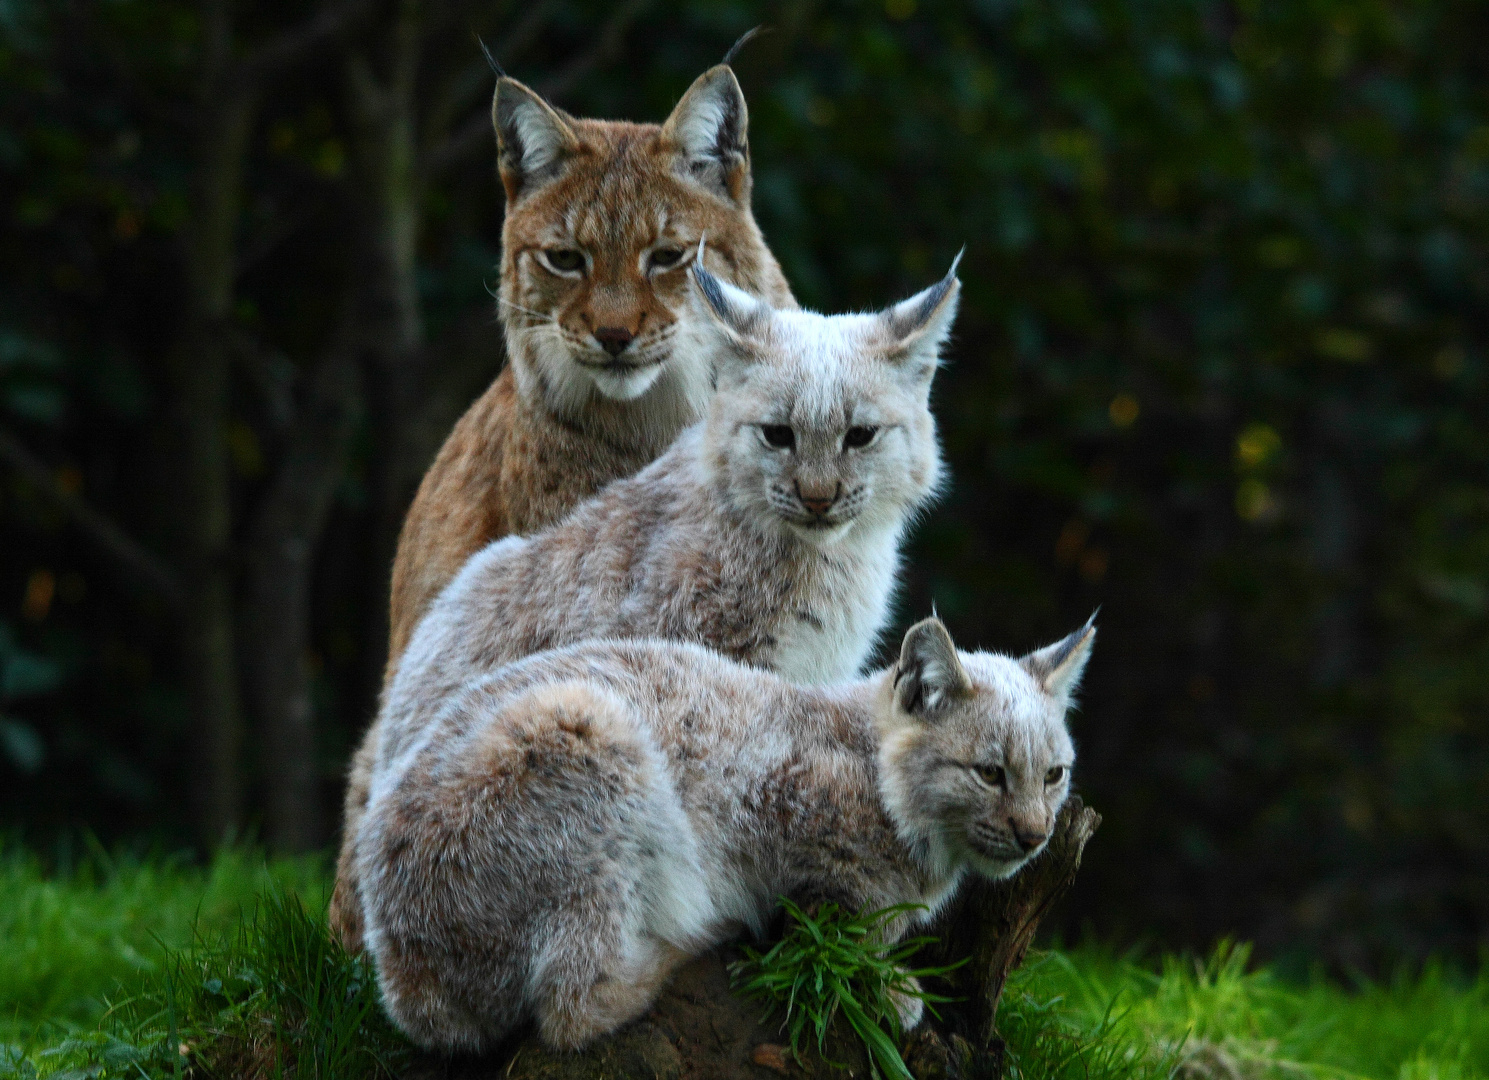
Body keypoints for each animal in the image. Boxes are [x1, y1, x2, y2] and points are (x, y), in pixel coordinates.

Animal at [360, 619, 1095, 1048]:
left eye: (1053, 775)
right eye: (989, 774)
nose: (1033, 837)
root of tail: (396, 969)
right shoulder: (768, 795)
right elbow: (838, 917)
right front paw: (885, 981)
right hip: (586, 722)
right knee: (570, 1009)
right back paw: (693, 937)